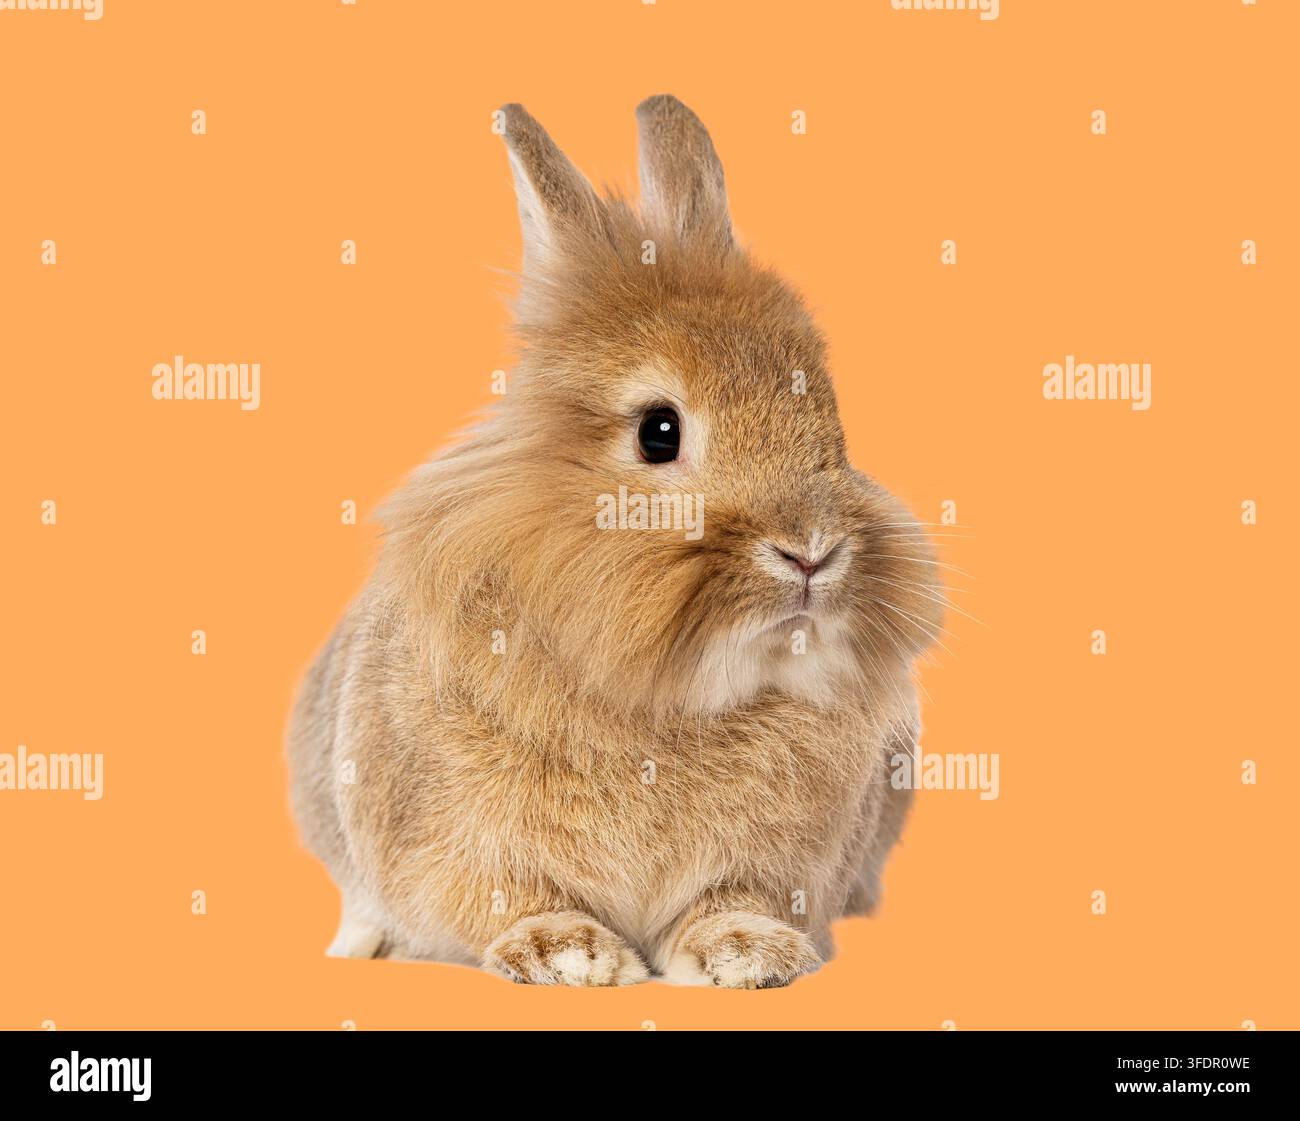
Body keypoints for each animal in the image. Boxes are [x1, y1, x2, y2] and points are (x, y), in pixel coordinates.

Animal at [288, 95, 942, 988]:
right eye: (658, 432)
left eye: (833, 429)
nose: (811, 551)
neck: (669, 695)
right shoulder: (460, 847)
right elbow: (508, 897)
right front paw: (564, 953)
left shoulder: (780, 866)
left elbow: (730, 903)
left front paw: (747, 953)